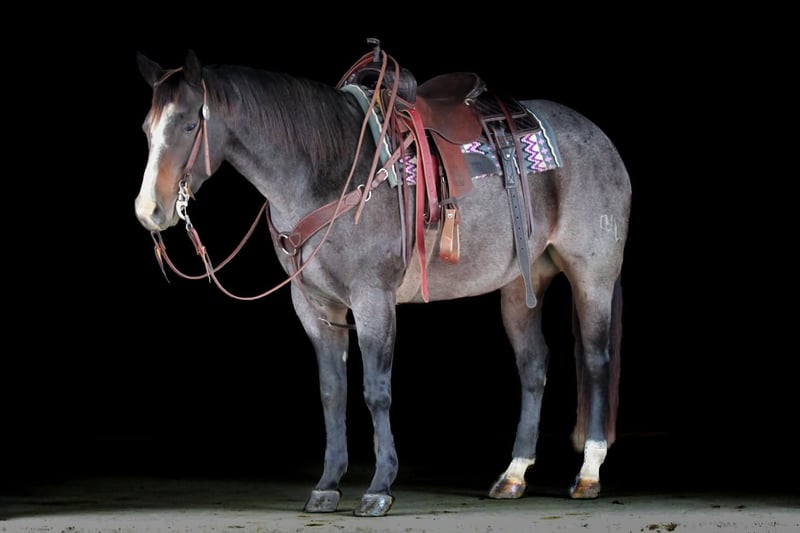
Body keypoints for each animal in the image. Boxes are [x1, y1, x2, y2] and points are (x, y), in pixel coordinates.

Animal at [134, 44, 632, 517]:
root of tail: (600, 138)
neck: (327, 172)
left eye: (188, 125)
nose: (149, 211)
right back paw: (513, 475)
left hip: (592, 275)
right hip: (520, 286)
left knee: (595, 360)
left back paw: (588, 474)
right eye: (146, 129)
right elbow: (332, 392)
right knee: (533, 365)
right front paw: (327, 485)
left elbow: (376, 391)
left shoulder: (373, 299)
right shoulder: (315, 307)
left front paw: (378, 489)